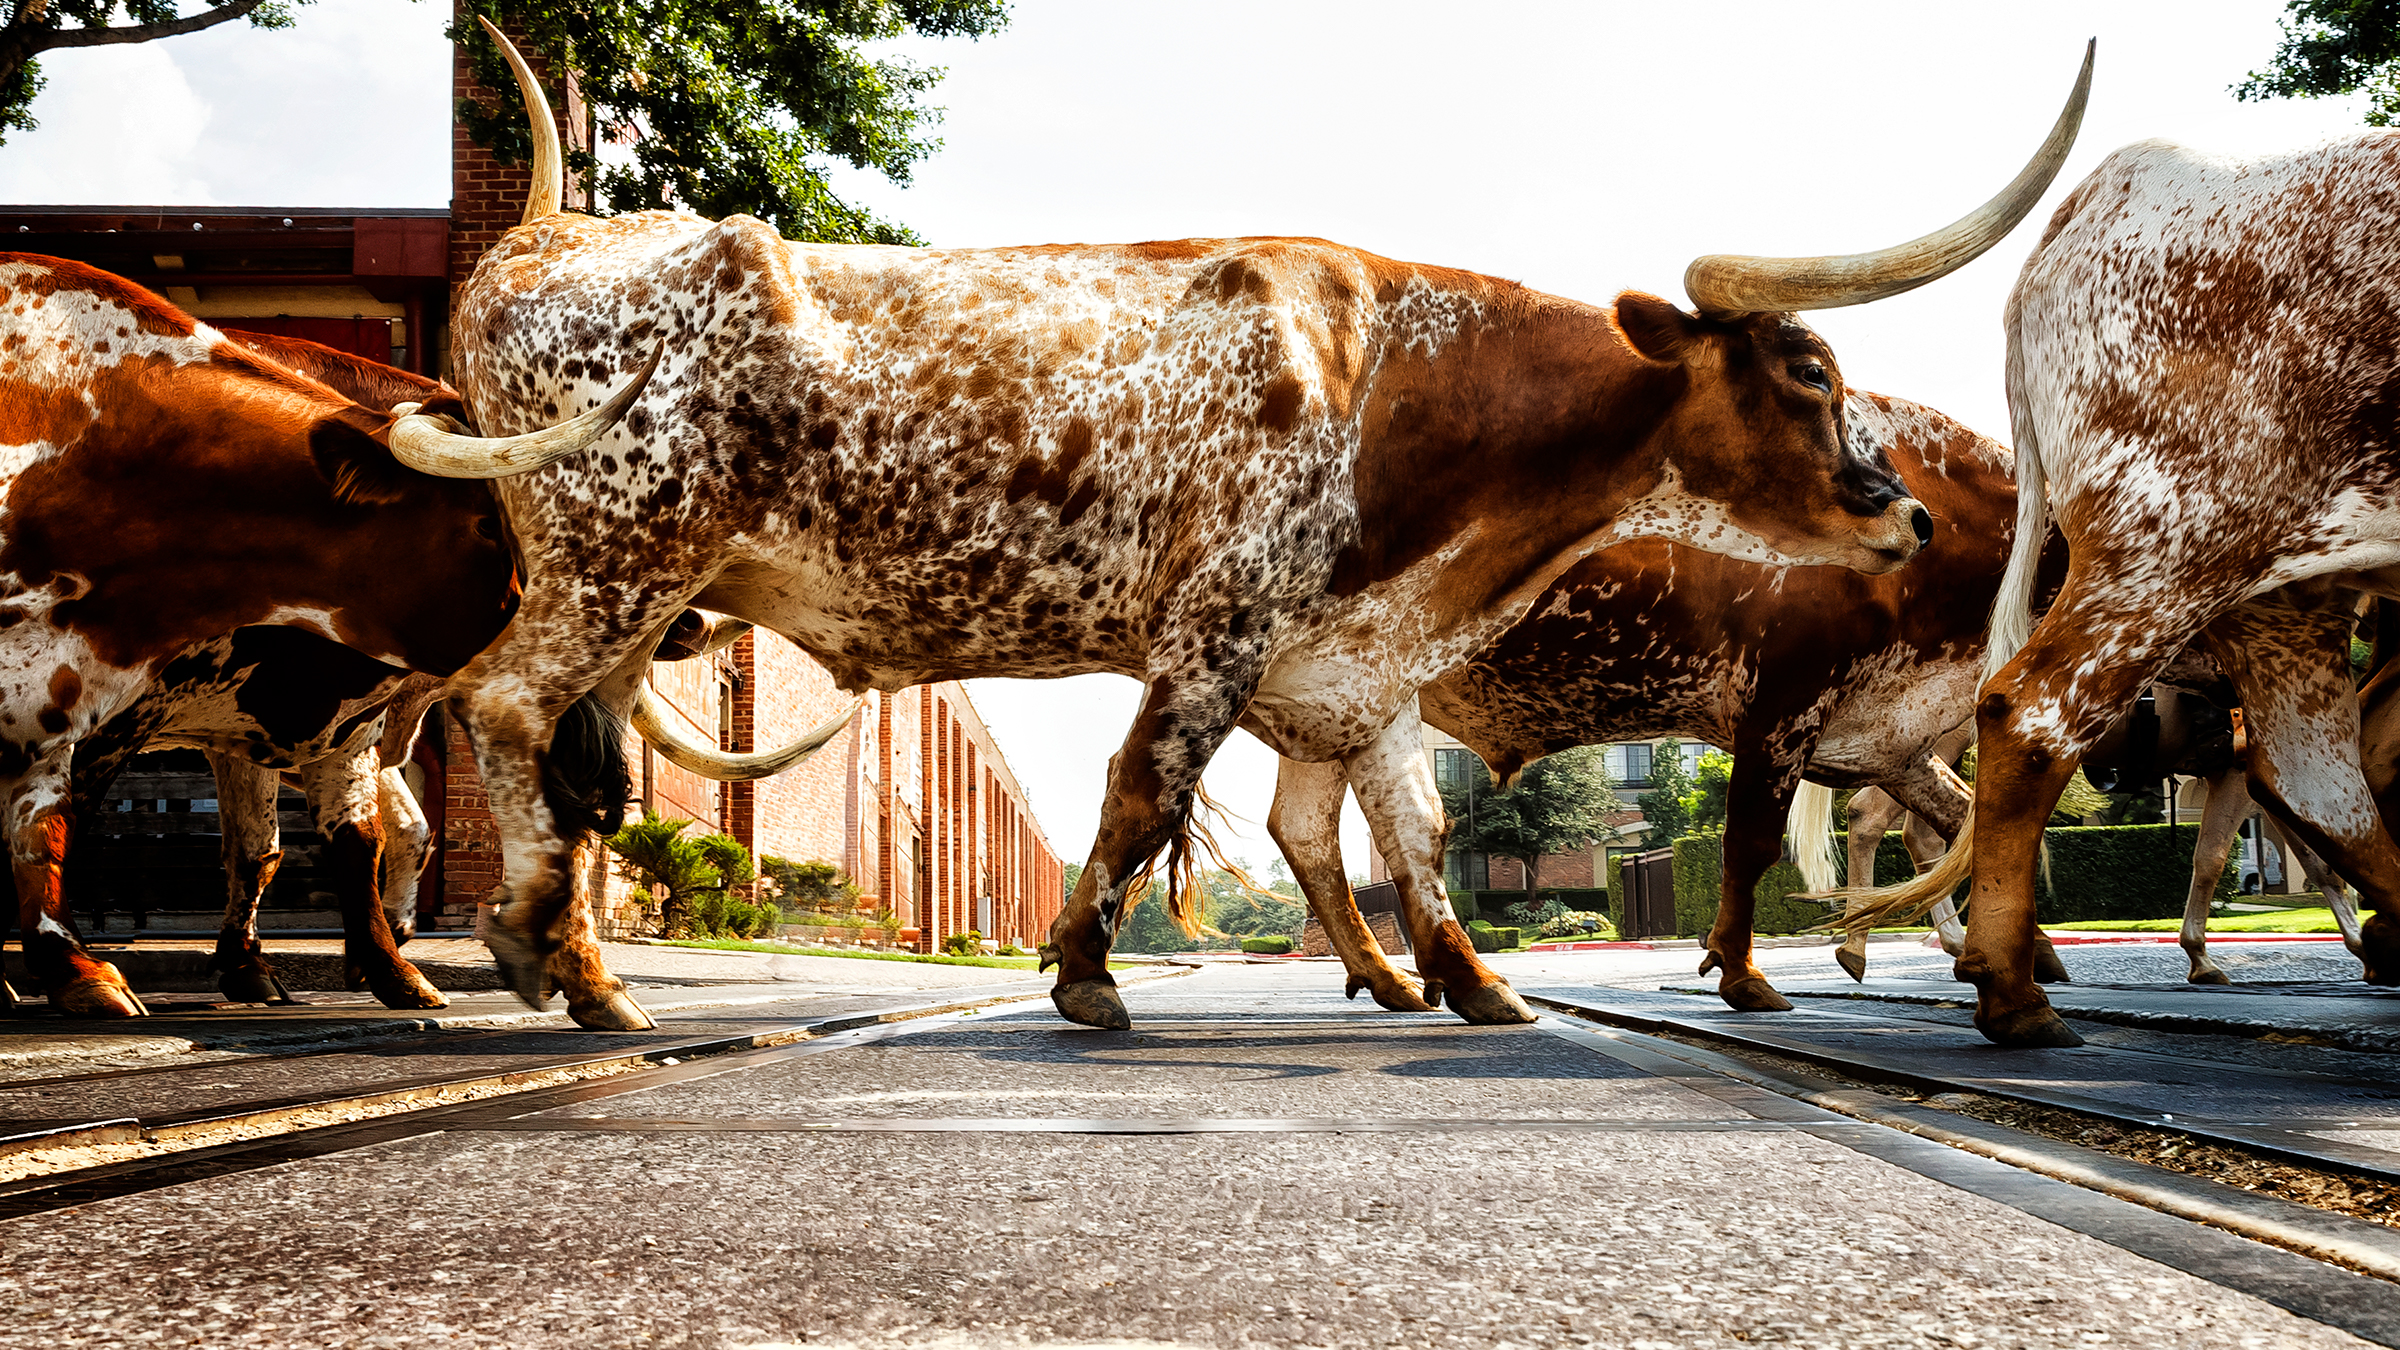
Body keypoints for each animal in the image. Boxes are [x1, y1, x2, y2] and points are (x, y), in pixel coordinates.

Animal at [0, 255, 651, 1017]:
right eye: (491, 525)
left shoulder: (295, 726)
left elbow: (328, 843)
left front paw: (377, 966)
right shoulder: (110, 717)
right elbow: (59, 829)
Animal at [1256, 392, 2072, 1020]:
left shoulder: (1893, 739)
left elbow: (1967, 817)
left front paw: (2019, 958)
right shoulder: (1783, 706)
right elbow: (1751, 842)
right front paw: (1743, 972)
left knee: (1304, 829)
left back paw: (1392, 979)